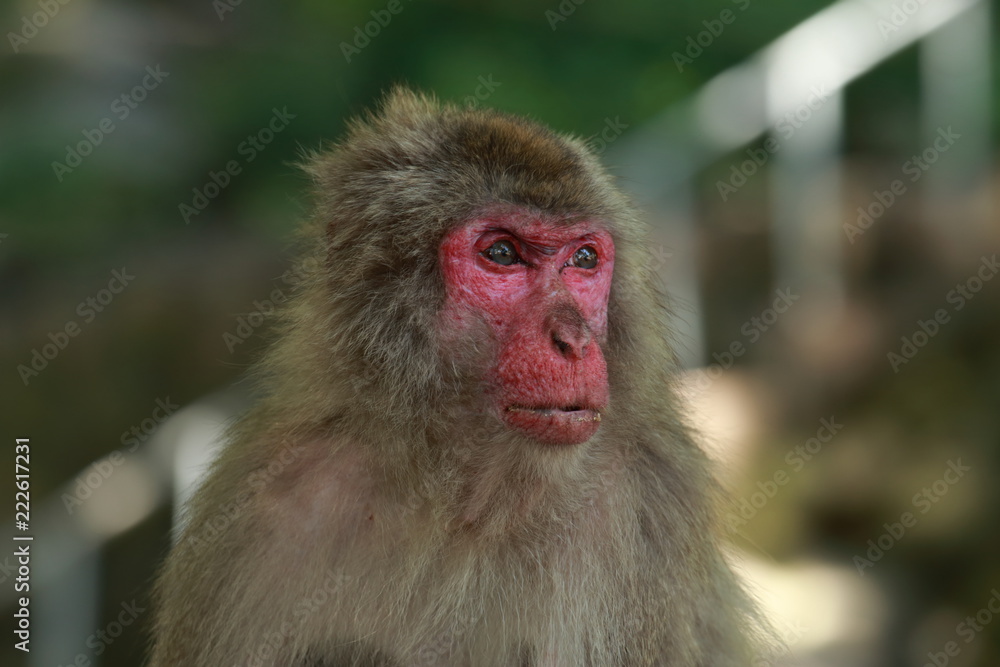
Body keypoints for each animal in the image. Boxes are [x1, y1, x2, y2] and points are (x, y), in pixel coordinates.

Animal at [149, 87, 767, 666]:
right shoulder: (254, 514)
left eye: (584, 259)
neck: (462, 496)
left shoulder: (650, 501)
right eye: (503, 253)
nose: (574, 341)